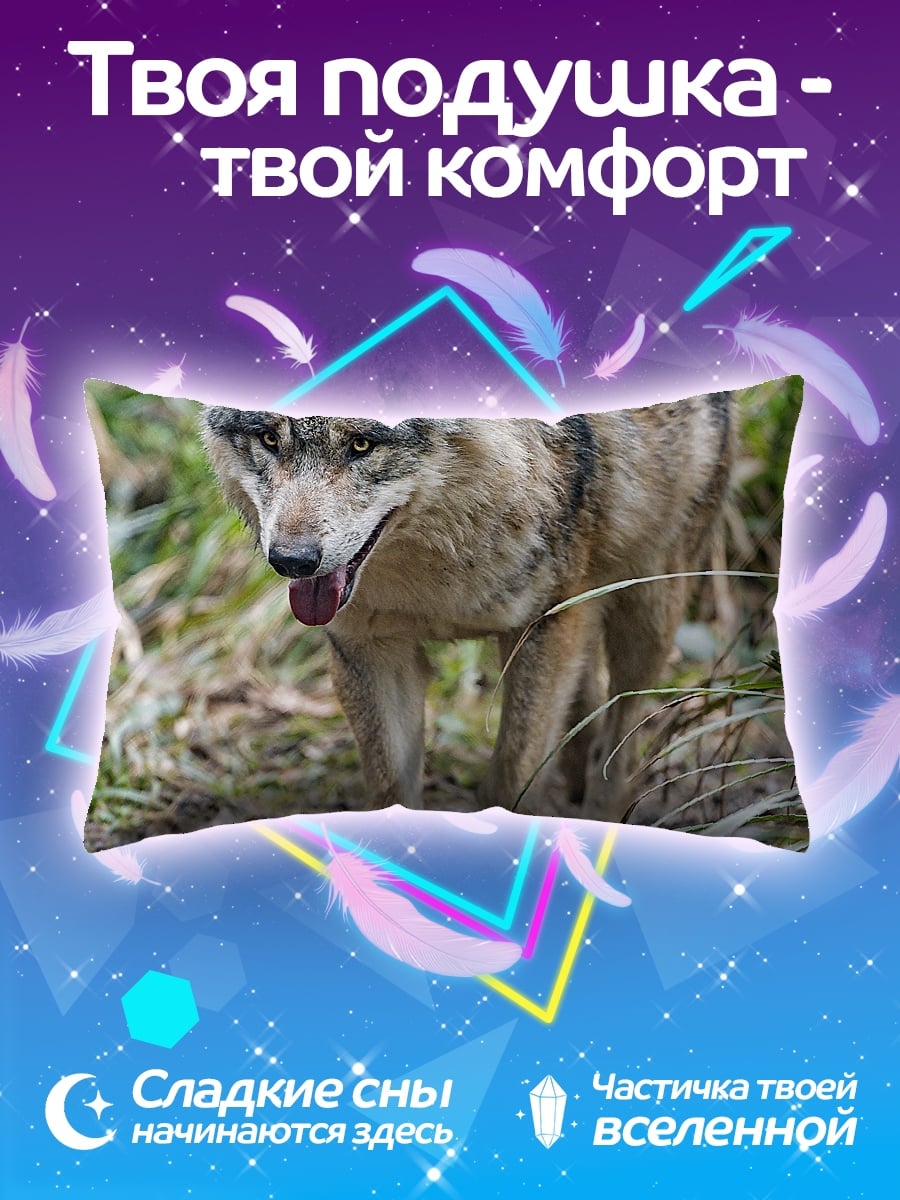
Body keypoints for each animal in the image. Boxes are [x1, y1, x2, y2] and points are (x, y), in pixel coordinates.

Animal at [201, 393, 732, 820]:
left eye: (361, 445)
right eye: (270, 438)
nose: (291, 561)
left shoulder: (543, 628)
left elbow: (511, 779)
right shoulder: (370, 650)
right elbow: (393, 790)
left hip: (648, 610)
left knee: (620, 730)